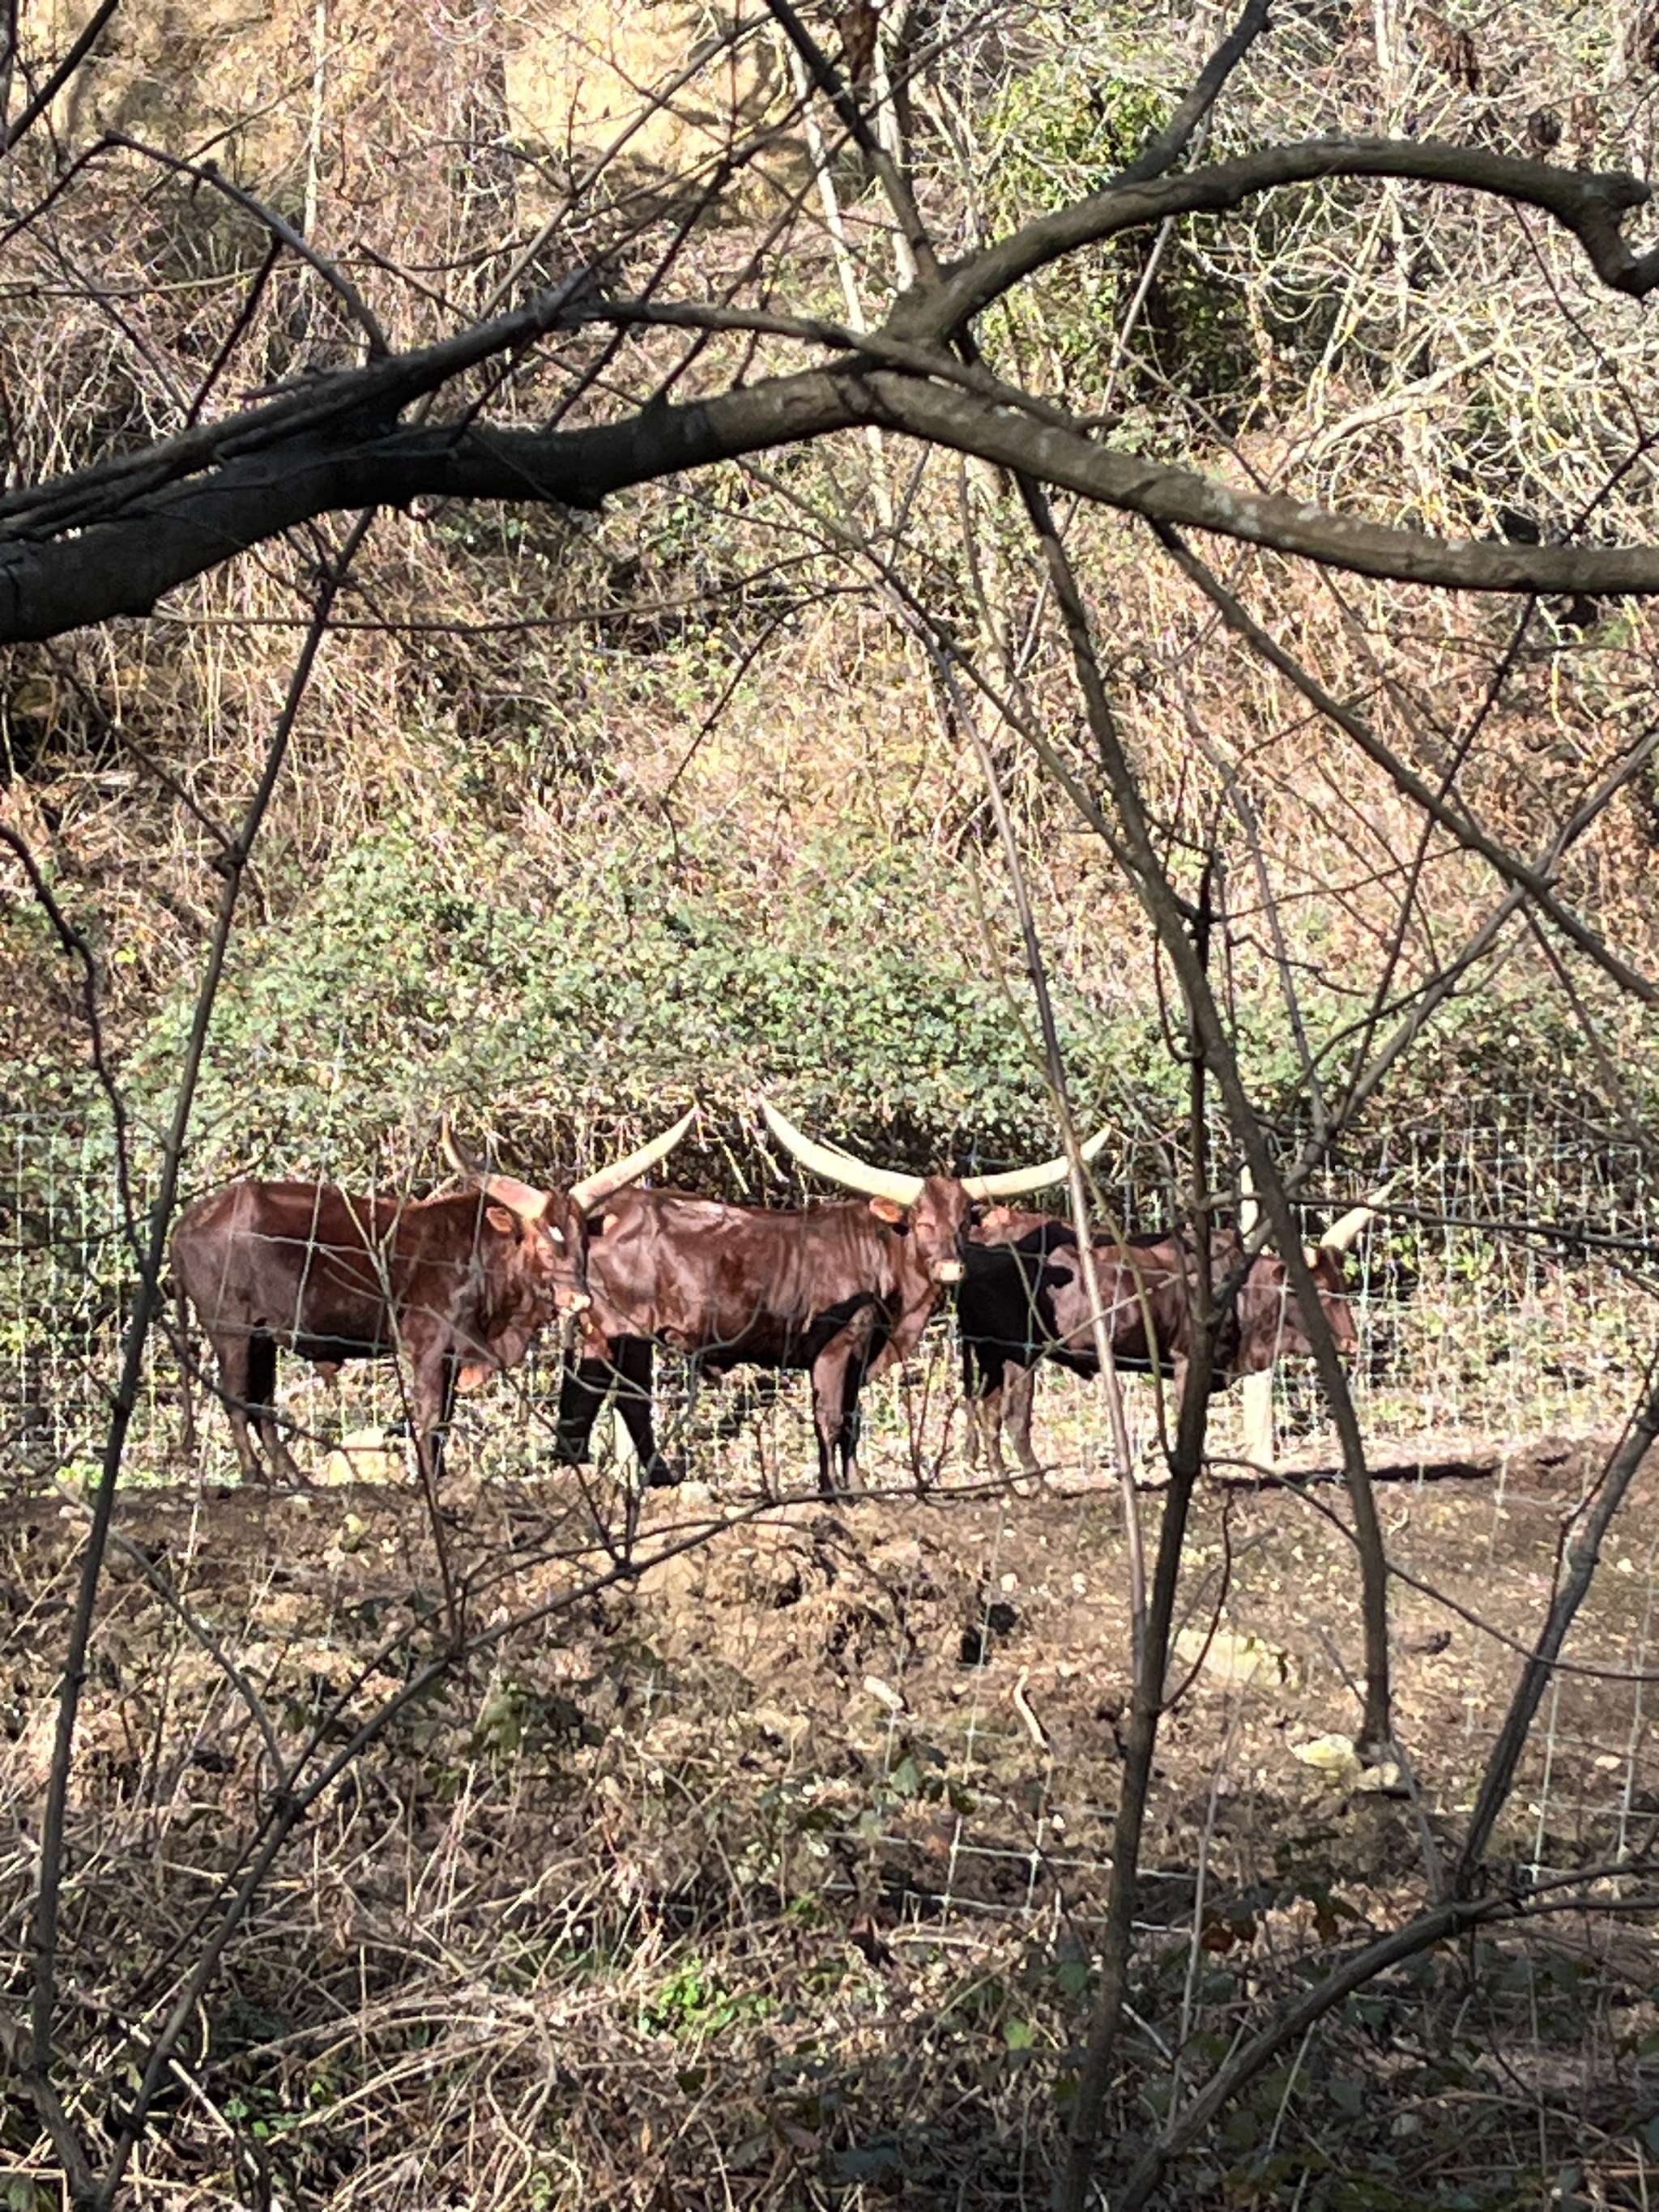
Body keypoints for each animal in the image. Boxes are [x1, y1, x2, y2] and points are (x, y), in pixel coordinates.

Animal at [171, 1109, 695, 1485]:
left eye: (584, 1242)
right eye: (542, 1243)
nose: (578, 1301)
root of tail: (188, 1220)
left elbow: (444, 1416)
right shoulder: (427, 1347)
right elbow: (430, 1420)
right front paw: (428, 1479)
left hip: (261, 1334)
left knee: (261, 1403)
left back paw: (295, 1478)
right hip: (230, 1328)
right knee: (238, 1399)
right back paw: (254, 1476)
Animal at [551, 1100, 1111, 1499]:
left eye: (961, 1221)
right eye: (922, 1222)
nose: (952, 1267)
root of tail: (600, 1217)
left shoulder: (864, 1352)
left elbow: (854, 1421)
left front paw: (858, 1486)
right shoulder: (837, 1347)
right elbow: (831, 1417)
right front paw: (831, 1492)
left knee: (604, 1394)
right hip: (619, 1330)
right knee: (614, 1397)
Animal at [958, 1194, 1382, 1479]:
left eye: (1342, 1286)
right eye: (1316, 1290)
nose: (1351, 1343)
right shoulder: (1187, 1360)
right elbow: (1192, 1425)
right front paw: (1205, 1480)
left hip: (991, 1353)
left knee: (986, 1412)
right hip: (1020, 1353)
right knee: (1013, 1417)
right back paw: (1039, 1485)